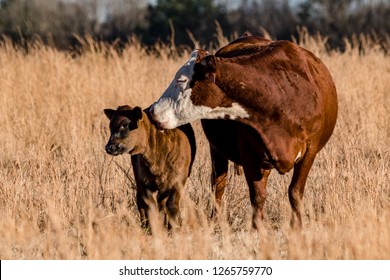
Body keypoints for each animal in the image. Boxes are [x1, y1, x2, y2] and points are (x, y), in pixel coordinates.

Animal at [149, 35, 338, 229]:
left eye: (181, 80)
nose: (151, 110)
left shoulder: (310, 150)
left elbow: (295, 192)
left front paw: (297, 226)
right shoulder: (249, 153)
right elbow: (257, 196)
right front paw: (258, 228)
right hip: (217, 150)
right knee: (218, 185)